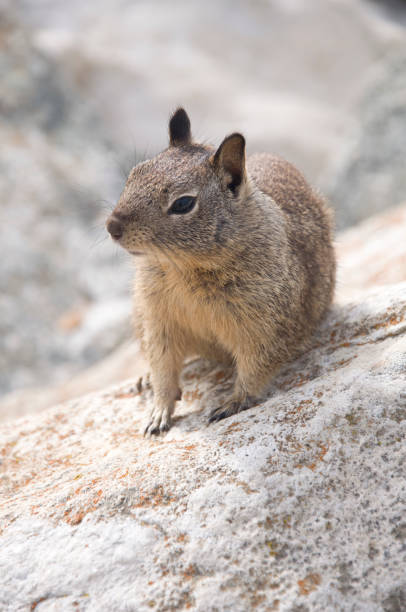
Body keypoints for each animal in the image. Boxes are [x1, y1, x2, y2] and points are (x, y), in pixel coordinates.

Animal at [106, 109, 334, 436]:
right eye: (133, 174)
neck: (184, 268)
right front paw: (157, 413)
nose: (112, 226)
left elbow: (256, 366)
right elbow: (163, 367)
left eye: (183, 203)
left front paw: (233, 402)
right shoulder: (158, 319)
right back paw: (143, 378)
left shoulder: (264, 326)